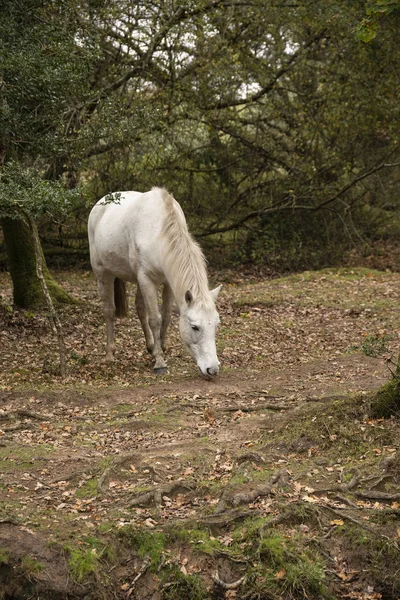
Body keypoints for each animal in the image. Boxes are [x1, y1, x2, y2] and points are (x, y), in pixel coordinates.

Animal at [87, 188, 222, 378]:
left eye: (216, 325)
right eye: (195, 327)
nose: (212, 369)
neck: (159, 233)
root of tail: (101, 203)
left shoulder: (168, 283)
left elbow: (165, 316)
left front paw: (161, 348)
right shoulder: (146, 279)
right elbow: (155, 319)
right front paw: (159, 362)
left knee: (139, 308)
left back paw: (150, 346)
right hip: (104, 274)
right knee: (109, 311)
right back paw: (110, 354)